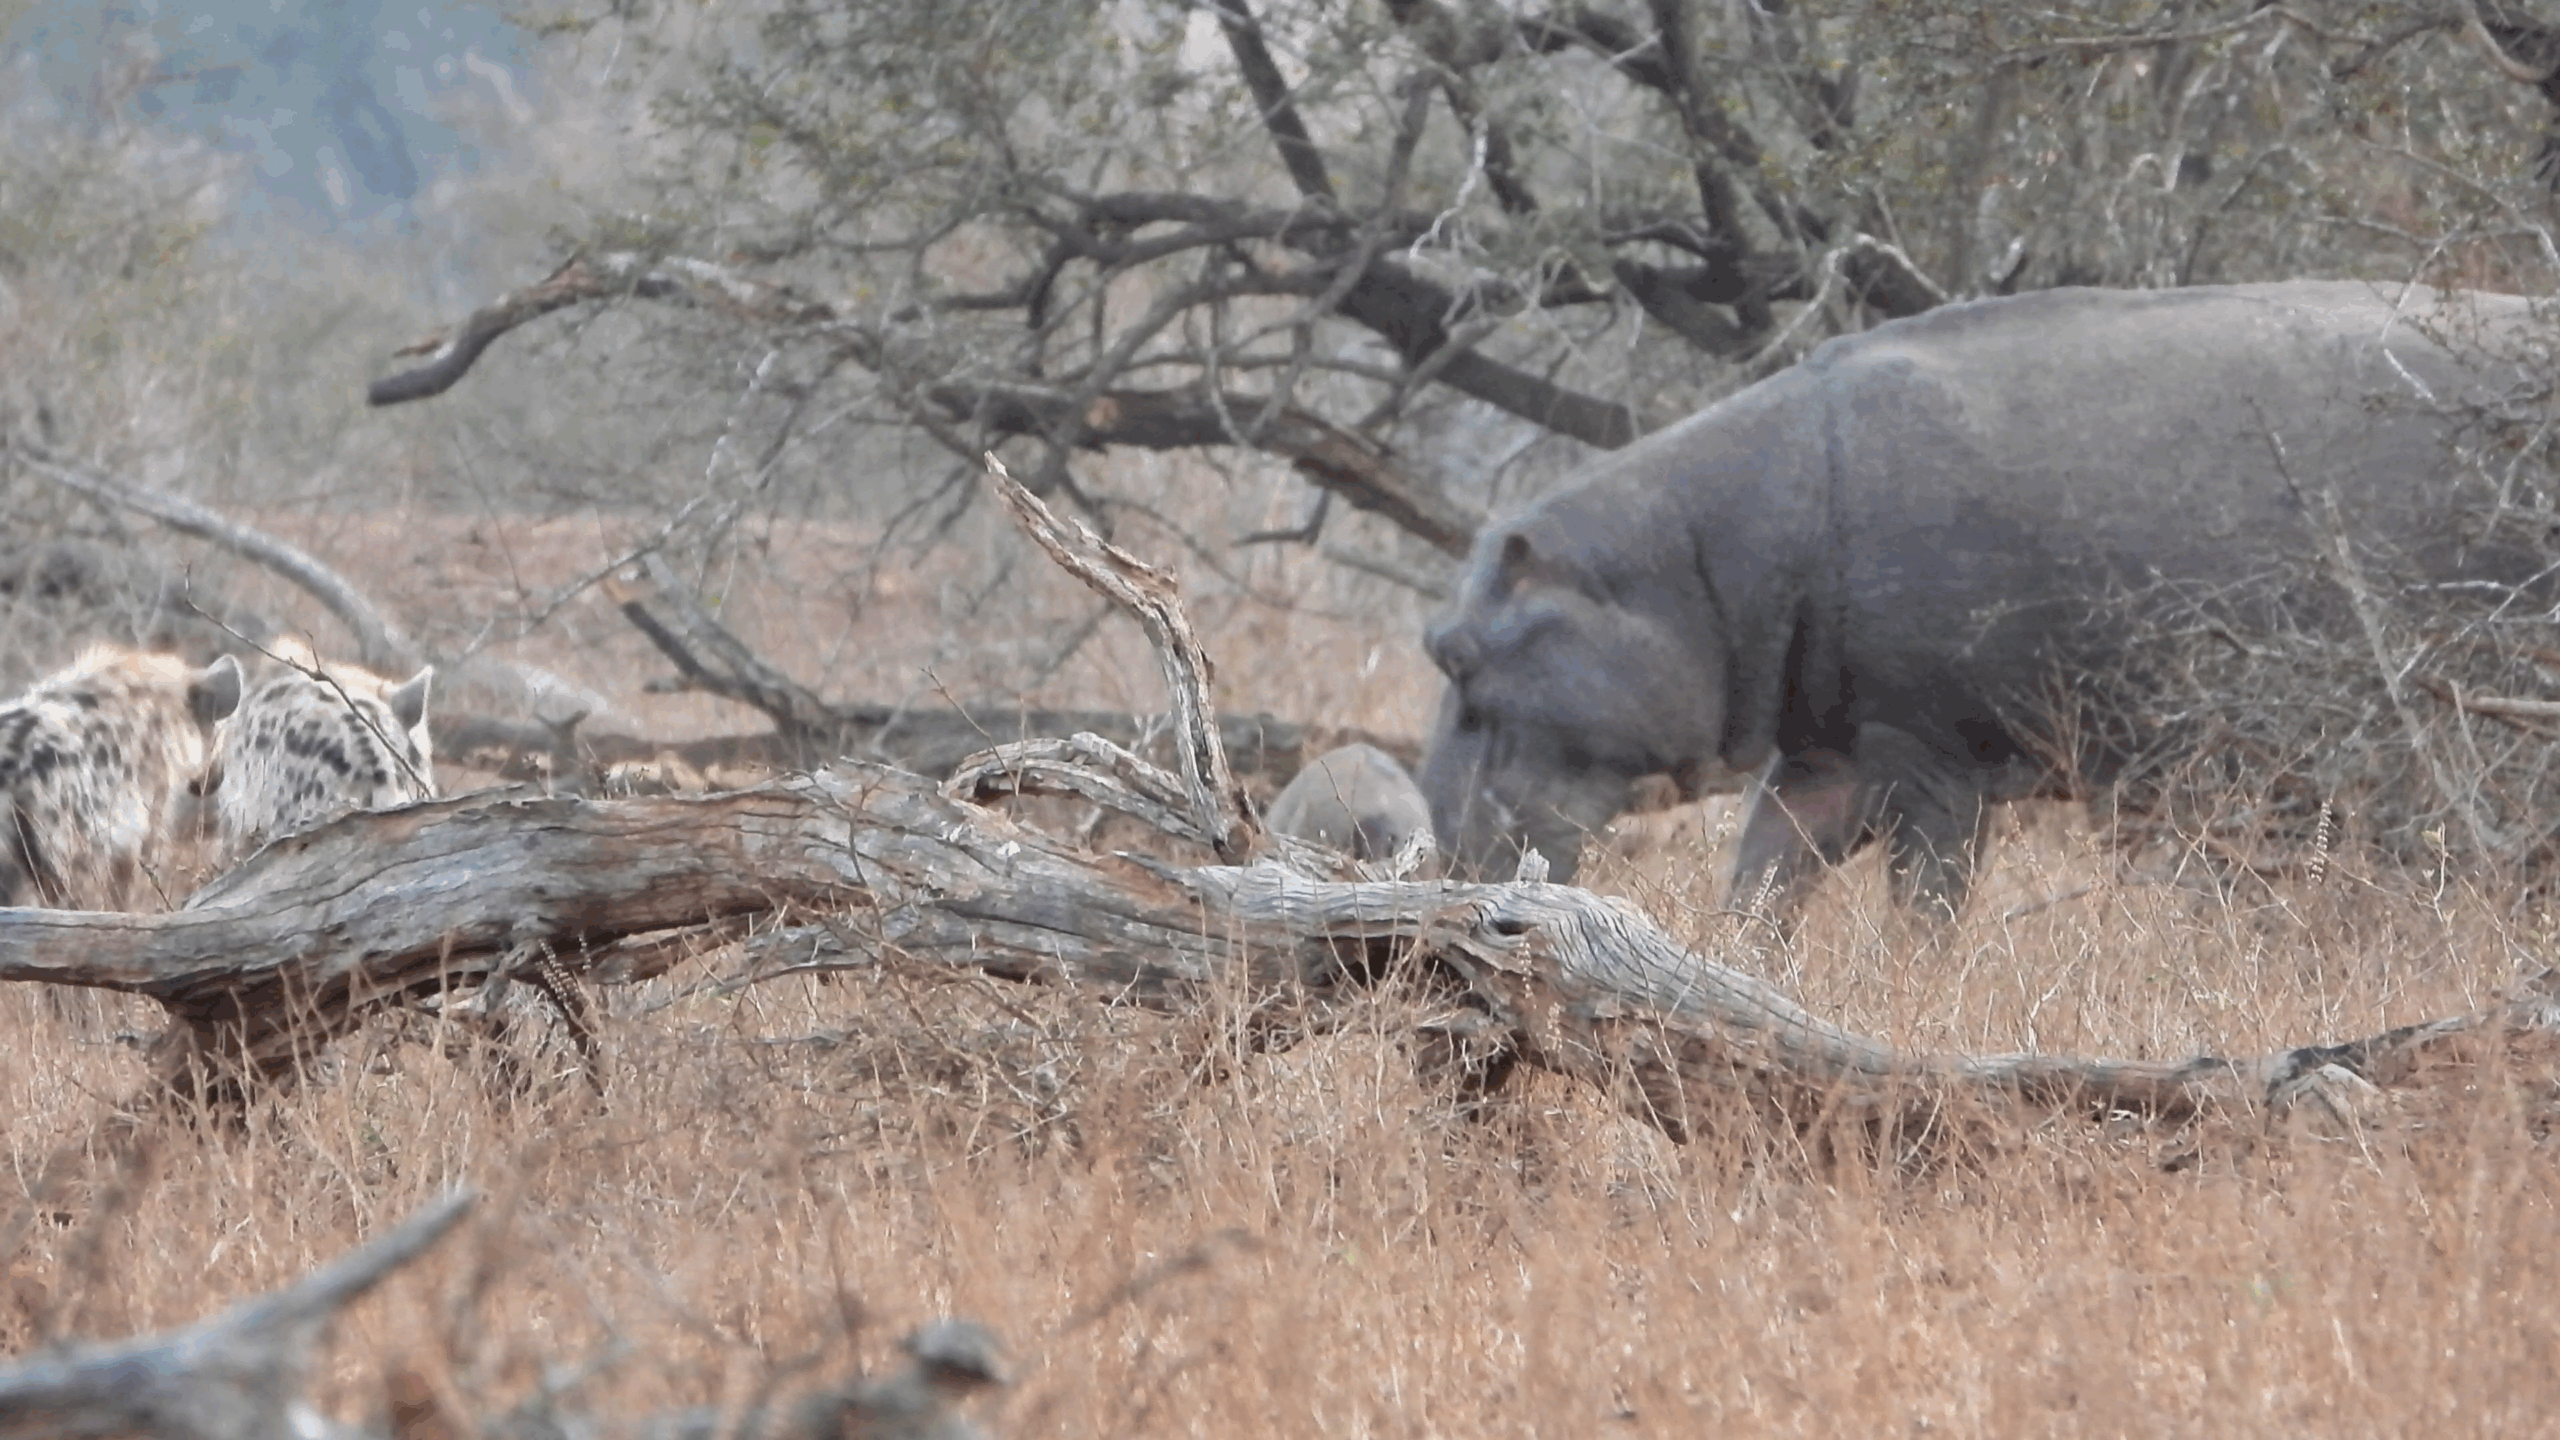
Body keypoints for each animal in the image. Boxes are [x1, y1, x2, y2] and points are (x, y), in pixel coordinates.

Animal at [1418, 282, 2552, 917]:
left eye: (1454, 656)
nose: (1438, 864)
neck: (1701, 565)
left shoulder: (1933, 762)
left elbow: (1926, 905)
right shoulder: (1830, 753)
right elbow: (1762, 879)